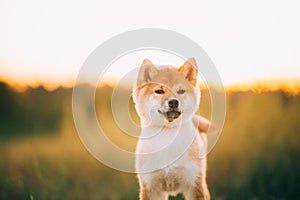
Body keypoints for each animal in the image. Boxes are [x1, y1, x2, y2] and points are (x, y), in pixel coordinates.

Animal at [132, 57, 212, 199]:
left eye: (181, 91)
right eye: (159, 91)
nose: (174, 101)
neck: (167, 136)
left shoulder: (194, 184)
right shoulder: (151, 187)